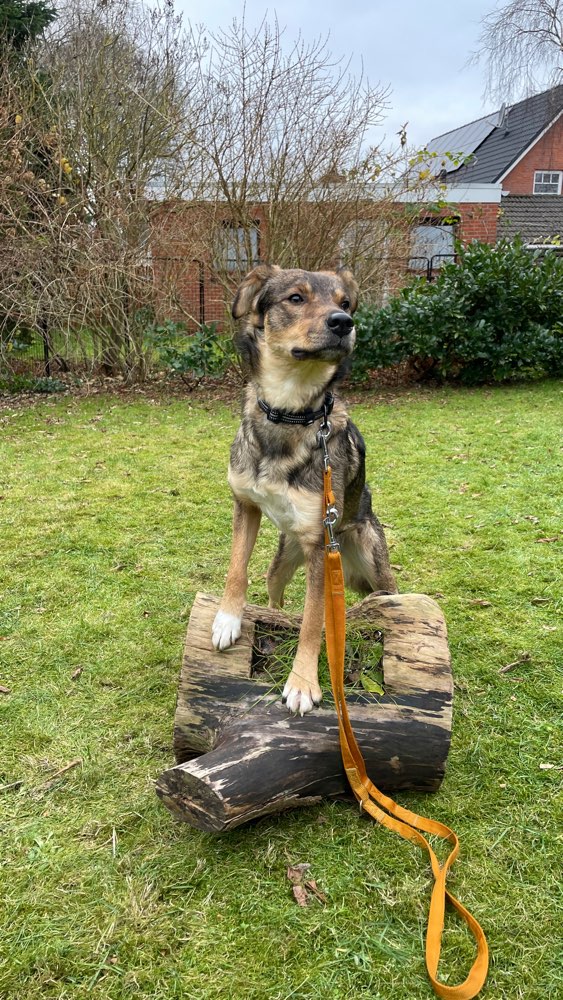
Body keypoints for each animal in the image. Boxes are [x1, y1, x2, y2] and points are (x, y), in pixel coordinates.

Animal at [212, 266, 396, 716]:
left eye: (345, 303)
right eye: (296, 298)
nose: (343, 323)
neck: (289, 412)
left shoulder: (318, 548)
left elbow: (314, 622)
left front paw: (302, 683)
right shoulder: (245, 505)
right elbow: (236, 568)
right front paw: (229, 618)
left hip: (372, 566)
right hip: (282, 562)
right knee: (275, 599)